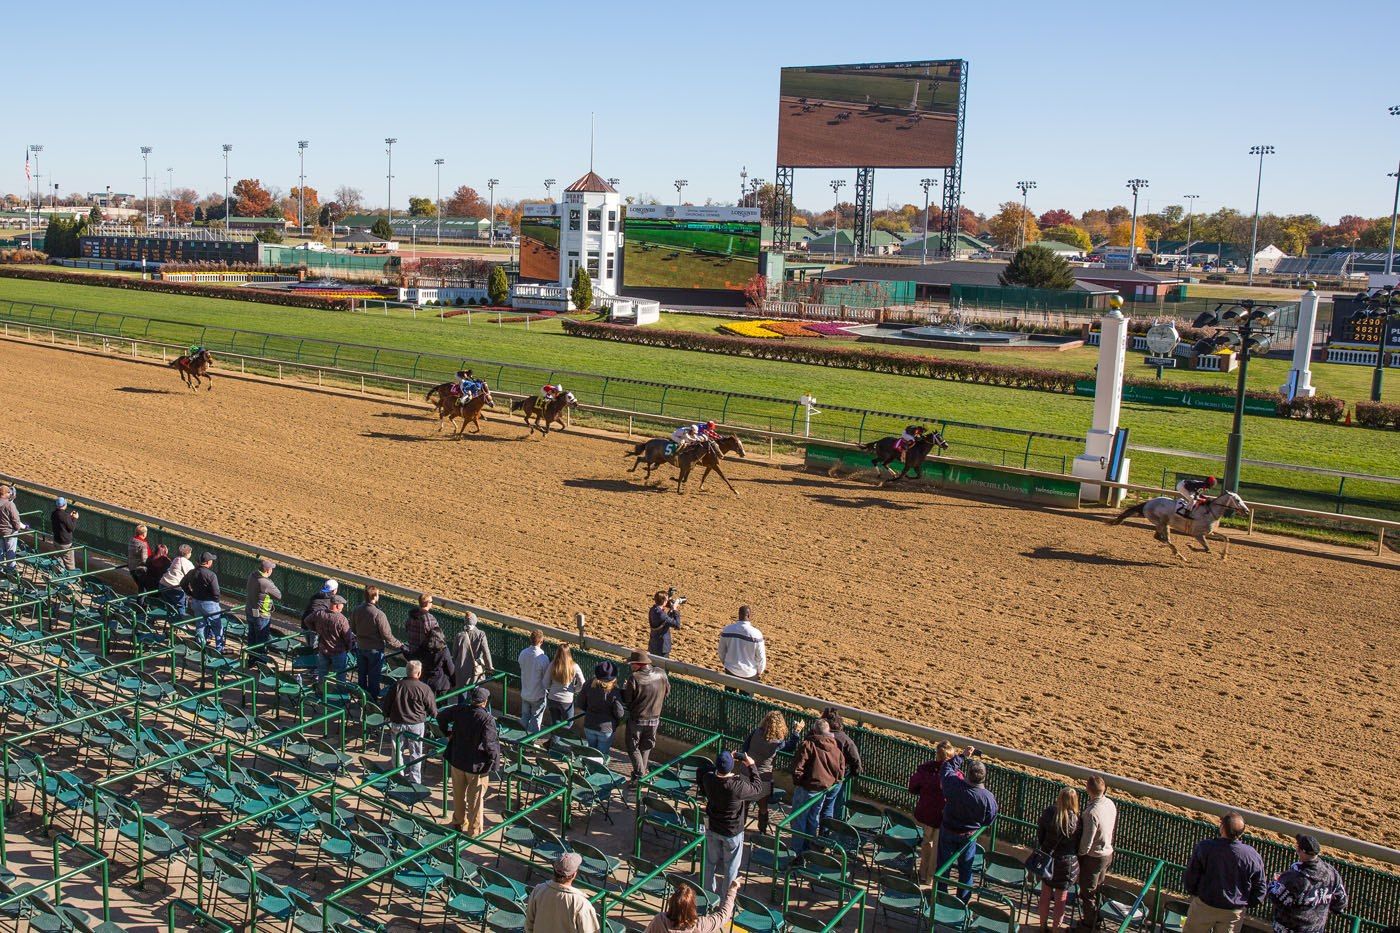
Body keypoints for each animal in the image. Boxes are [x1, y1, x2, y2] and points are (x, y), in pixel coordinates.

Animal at [1108, 487, 1254, 560]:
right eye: (1237, 500)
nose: (1247, 511)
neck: (1211, 511)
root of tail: (1148, 503)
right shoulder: (1198, 534)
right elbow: (1207, 549)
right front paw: (1190, 546)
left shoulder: (1210, 532)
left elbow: (1226, 538)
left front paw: (1223, 556)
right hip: (1160, 522)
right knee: (1161, 537)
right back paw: (1178, 553)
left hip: (1165, 524)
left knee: (1162, 538)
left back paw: (1176, 553)